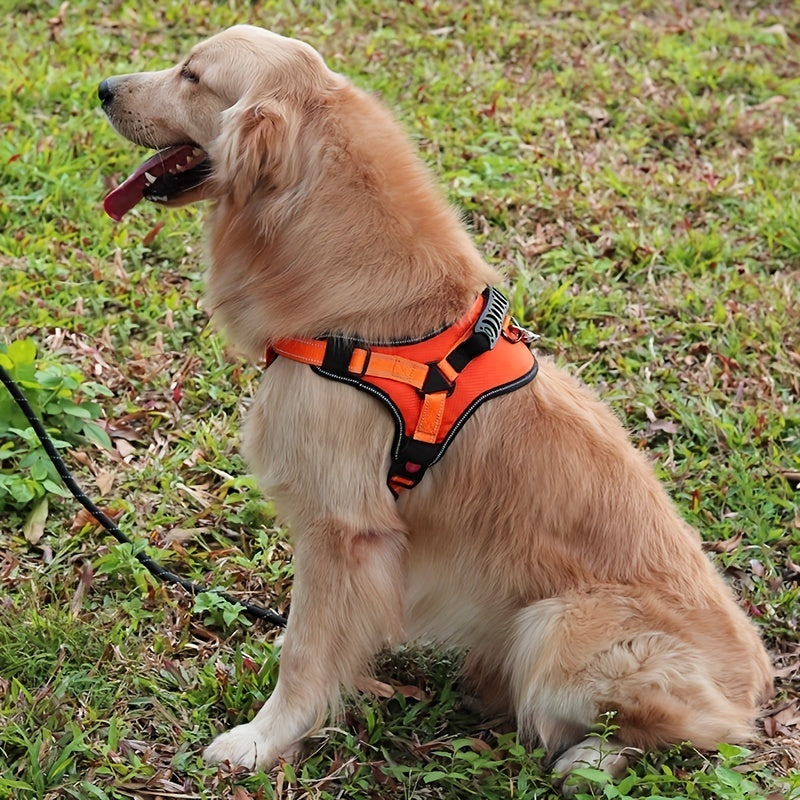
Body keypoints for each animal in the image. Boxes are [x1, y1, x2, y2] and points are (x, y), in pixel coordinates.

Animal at [97, 26, 772, 788]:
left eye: (191, 76)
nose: (104, 90)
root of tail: (754, 688)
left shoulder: (342, 529)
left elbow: (303, 653)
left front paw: (261, 741)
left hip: (559, 627)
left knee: (684, 735)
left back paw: (589, 755)